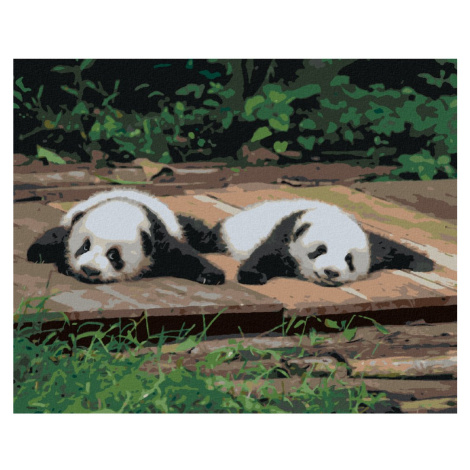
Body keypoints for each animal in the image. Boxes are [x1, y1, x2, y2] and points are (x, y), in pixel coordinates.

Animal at [27, 189, 225, 285]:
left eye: (113, 255)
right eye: (85, 246)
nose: (90, 270)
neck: (122, 210)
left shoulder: (158, 240)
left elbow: (183, 256)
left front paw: (210, 276)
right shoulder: (73, 222)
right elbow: (57, 235)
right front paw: (37, 253)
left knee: (198, 232)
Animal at [180, 199, 371, 286]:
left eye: (349, 259)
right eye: (320, 250)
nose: (331, 271)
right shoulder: (287, 231)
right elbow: (267, 254)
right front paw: (252, 276)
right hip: (231, 235)